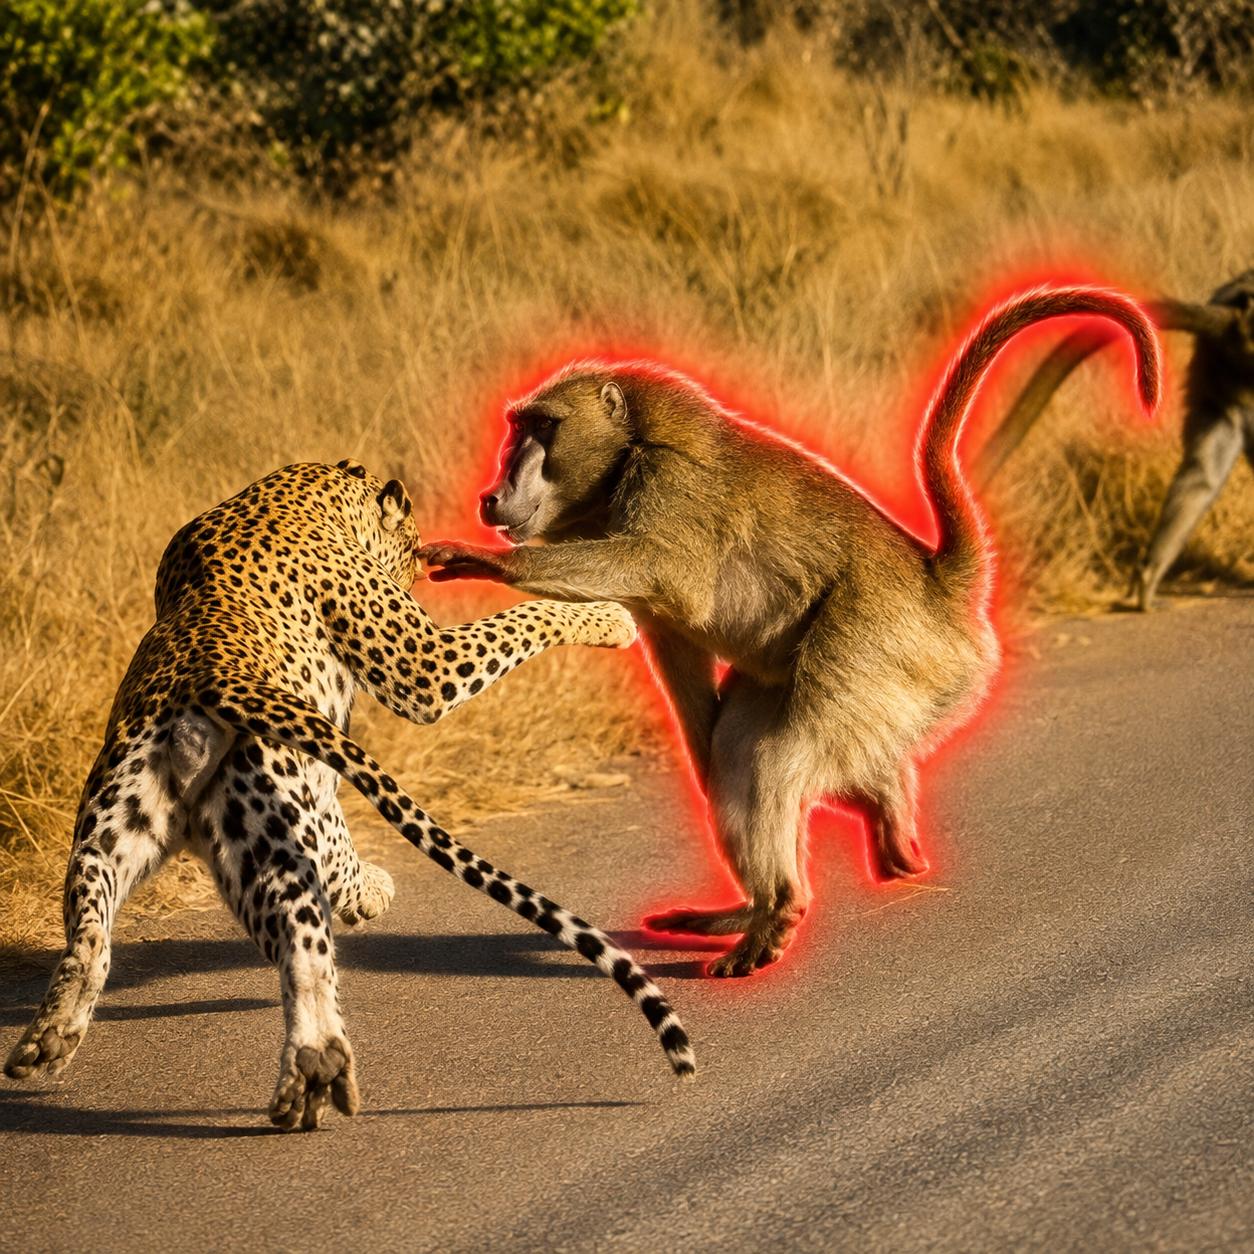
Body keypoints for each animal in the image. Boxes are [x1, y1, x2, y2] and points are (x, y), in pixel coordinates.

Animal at [419, 287, 1161, 978]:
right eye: (519, 427)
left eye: (542, 428)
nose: (492, 494)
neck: (627, 452)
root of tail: (936, 585)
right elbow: (688, 679)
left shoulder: (671, 486)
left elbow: (665, 575)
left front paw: (486, 561)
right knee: (742, 753)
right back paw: (814, 858)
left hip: (884, 645)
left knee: (775, 757)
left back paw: (778, 909)